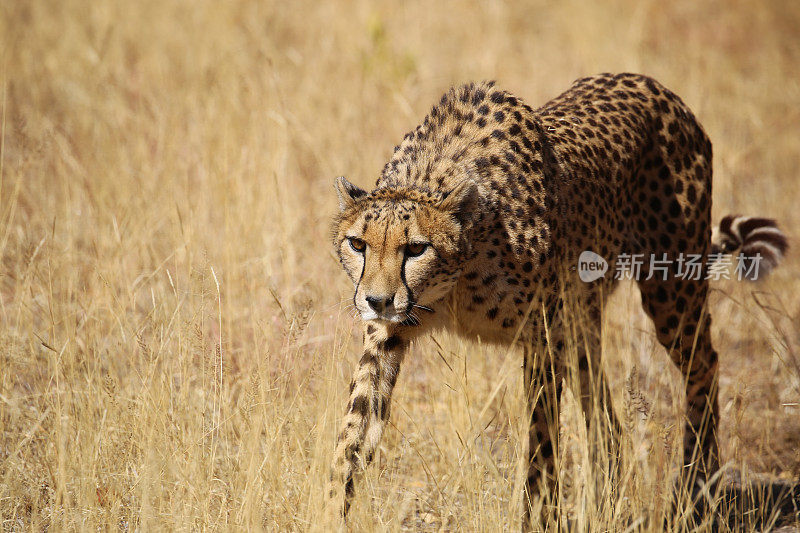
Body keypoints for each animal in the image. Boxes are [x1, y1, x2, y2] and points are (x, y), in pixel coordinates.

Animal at [324, 72, 788, 524]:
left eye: (416, 248)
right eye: (358, 244)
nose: (377, 301)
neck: (453, 284)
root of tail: (659, 88)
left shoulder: (543, 334)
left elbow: (541, 441)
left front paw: (539, 516)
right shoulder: (387, 335)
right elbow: (354, 429)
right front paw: (329, 510)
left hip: (671, 287)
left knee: (704, 365)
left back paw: (696, 488)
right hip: (585, 317)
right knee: (603, 409)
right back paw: (609, 500)